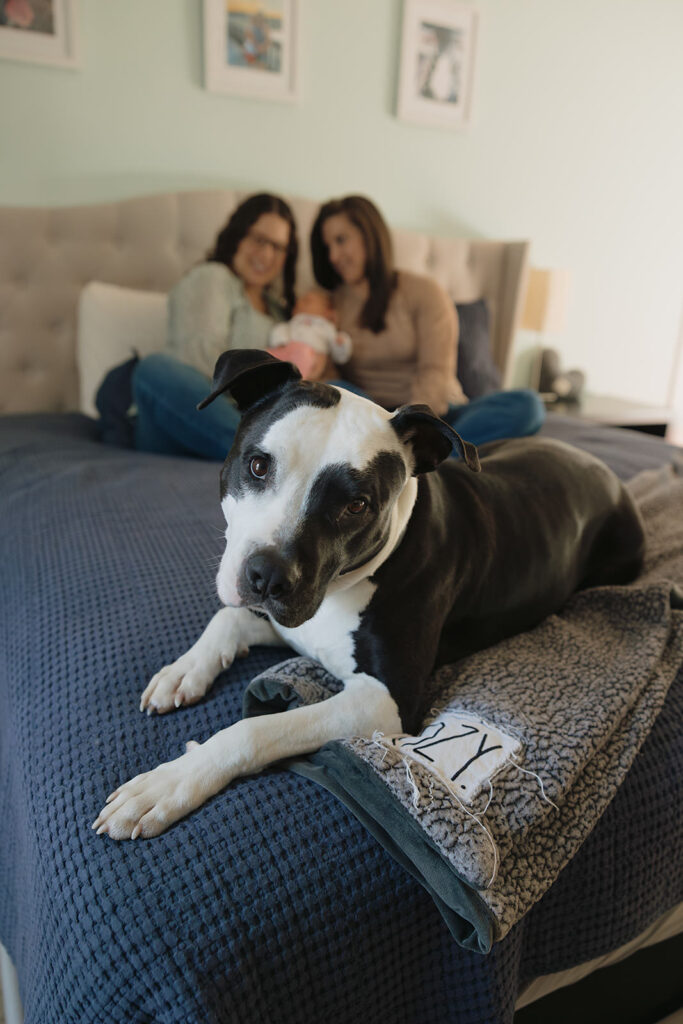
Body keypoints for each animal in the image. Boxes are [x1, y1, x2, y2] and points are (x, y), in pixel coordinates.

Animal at [92, 350, 647, 839]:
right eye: (258, 466)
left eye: (356, 505)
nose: (266, 577)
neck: (344, 588)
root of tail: (602, 467)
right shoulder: (286, 623)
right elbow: (226, 619)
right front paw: (183, 670)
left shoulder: (385, 700)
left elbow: (257, 730)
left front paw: (169, 783)